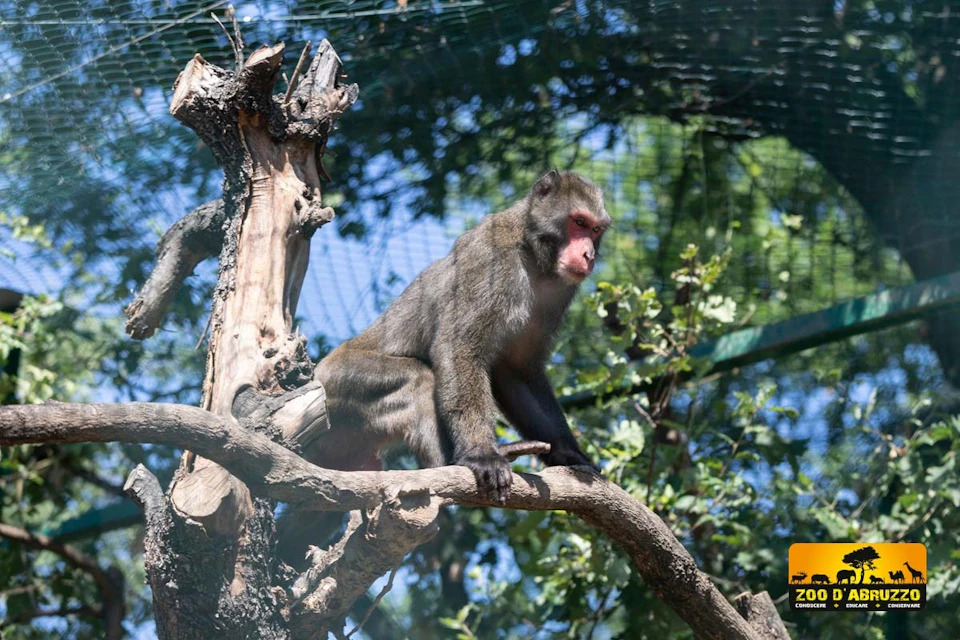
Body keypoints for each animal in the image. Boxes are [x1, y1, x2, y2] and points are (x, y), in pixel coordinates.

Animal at [278, 170, 609, 564]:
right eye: (578, 223)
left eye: (596, 230)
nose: (589, 254)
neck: (533, 256)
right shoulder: (488, 256)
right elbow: (459, 347)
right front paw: (481, 454)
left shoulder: (558, 293)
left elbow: (517, 372)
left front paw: (571, 453)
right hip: (338, 385)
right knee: (419, 380)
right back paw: (453, 463)